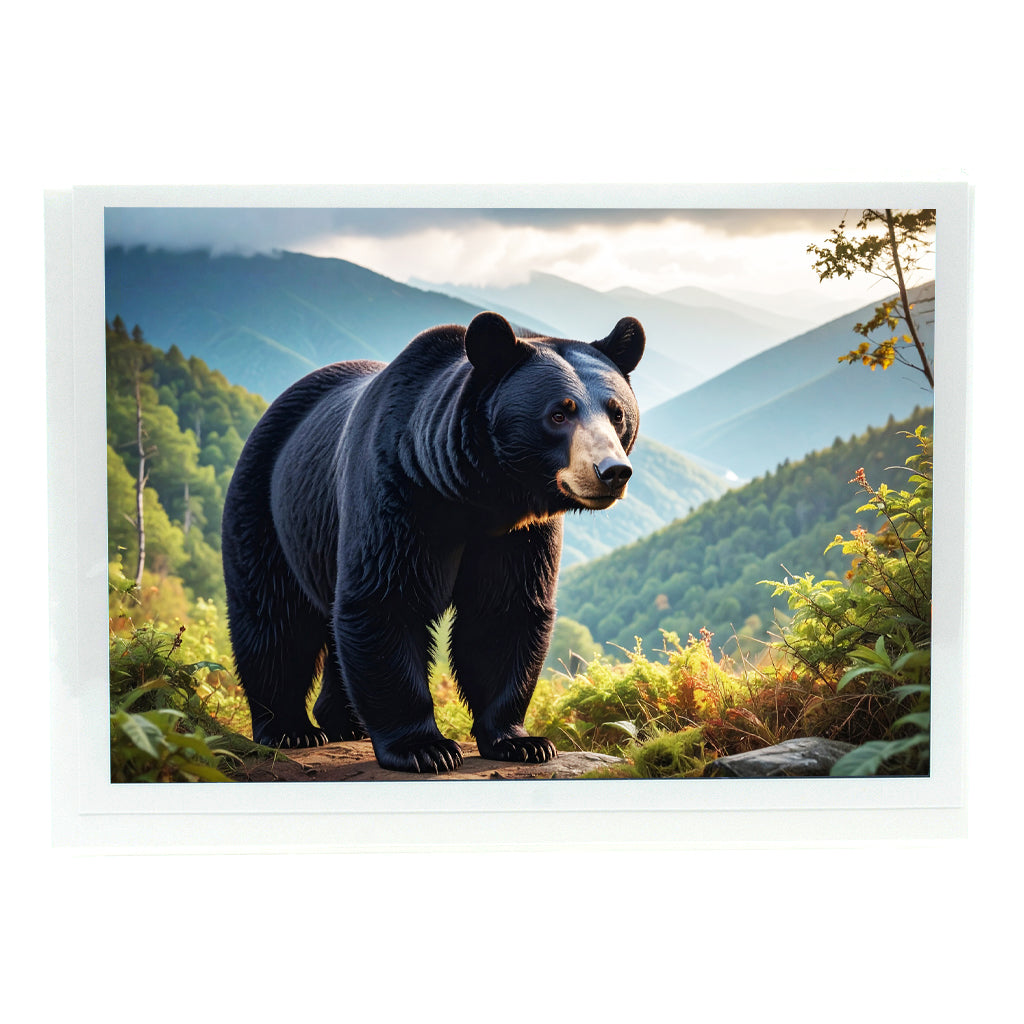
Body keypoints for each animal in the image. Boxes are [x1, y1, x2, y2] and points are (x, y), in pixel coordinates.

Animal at [221, 310, 645, 773]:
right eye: (559, 414)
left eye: (617, 413)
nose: (612, 471)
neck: (478, 493)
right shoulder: (399, 496)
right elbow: (386, 600)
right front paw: (425, 747)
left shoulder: (518, 535)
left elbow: (504, 613)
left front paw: (522, 741)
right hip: (268, 505)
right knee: (273, 616)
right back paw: (289, 728)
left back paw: (345, 721)